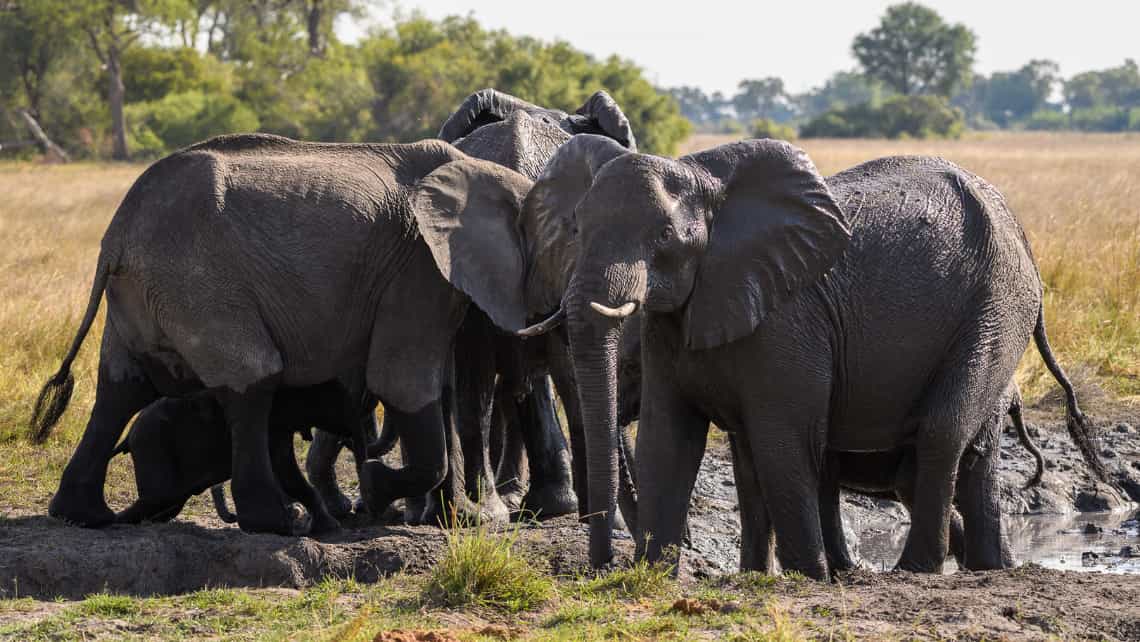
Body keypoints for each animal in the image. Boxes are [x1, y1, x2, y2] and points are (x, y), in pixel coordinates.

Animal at [506, 135, 1103, 577]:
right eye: (576, 228)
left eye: (665, 238)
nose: (600, 566)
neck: (703, 180)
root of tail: (1018, 230)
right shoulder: (676, 318)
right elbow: (668, 437)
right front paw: (659, 576)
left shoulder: (789, 318)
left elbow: (781, 441)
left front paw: (807, 577)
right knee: (970, 454)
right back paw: (987, 568)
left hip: (995, 306)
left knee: (942, 432)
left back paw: (915, 570)